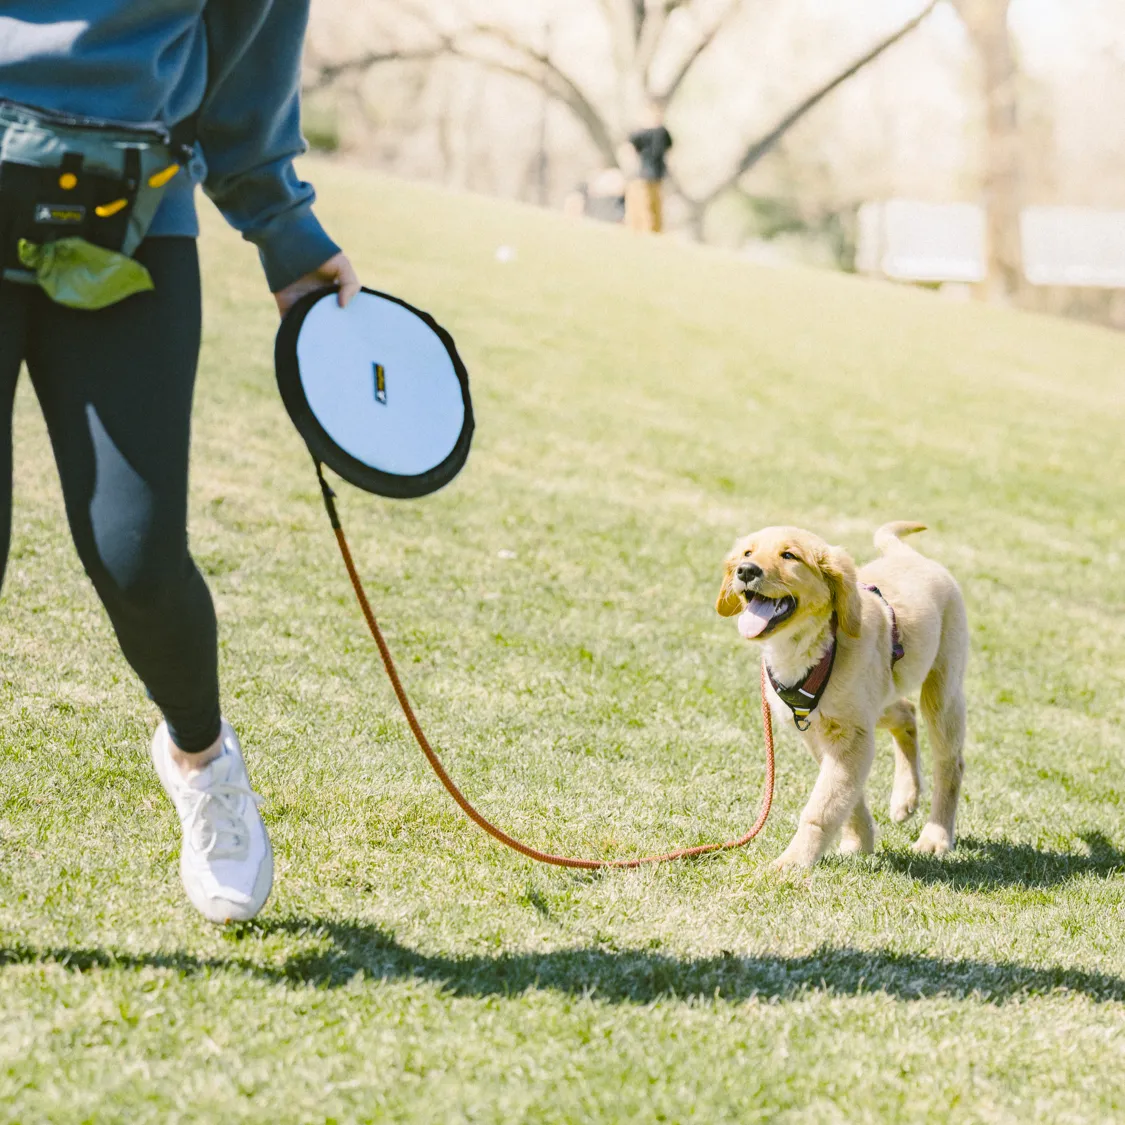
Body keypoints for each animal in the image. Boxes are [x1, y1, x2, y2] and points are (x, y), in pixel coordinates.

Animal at [720, 524, 967, 868]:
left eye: (789, 555)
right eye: (747, 553)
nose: (745, 570)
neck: (811, 647)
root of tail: (909, 556)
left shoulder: (850, 735)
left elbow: (823, 807)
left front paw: (792, 864)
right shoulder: (819, 732)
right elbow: (846, 797)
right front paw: (859, 841)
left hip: (942, 690)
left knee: (950, 764)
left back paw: (935, 837)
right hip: (878, 699)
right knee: (905, 713)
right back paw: (905, 798)